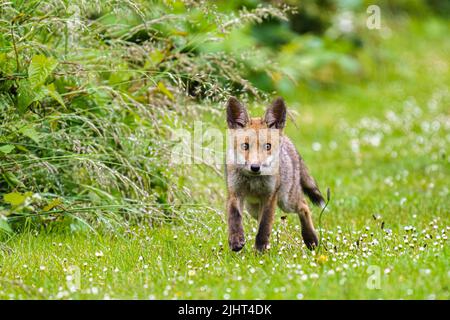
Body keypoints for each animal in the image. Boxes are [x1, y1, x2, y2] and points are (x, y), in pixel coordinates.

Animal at [224, 96, 324, 251]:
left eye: (267, 146)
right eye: (245, 146)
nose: (255, 167)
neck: (253, 181)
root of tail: (288, 141)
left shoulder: (270, 196)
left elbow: (264, 226)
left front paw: (260, 249)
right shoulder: (235, 193)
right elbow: (234, 217)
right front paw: (236, 240)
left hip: (286, 201)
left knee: (304, 205)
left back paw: (310, 239)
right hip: (252, 208)